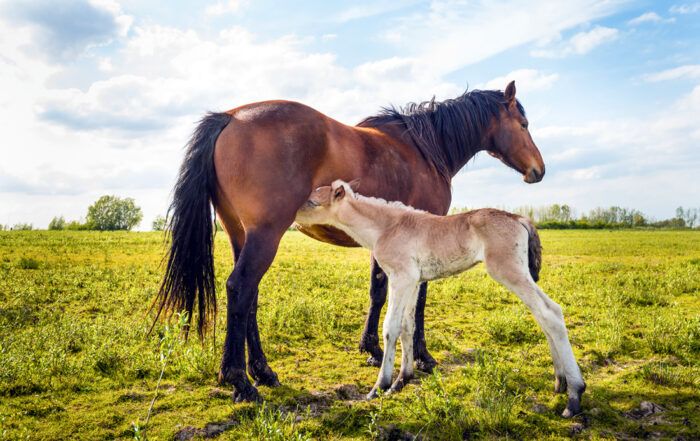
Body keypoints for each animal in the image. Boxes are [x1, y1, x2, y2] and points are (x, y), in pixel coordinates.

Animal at [155, 81, 545, 402]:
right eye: (523, 125)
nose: (539, 170)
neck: (425, 149)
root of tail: (230, 117)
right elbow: (417, 303)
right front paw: (422, 357)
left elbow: (377, 290)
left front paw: (371, 349)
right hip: (266, 235)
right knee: (240, 288)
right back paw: (240, 381)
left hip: (241, 234)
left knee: (249, 297)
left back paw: (264, 372)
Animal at [296, 180, 585, 418]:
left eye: (312, 201)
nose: (293, 217)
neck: (386, 227)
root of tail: (519, 218)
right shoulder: (413, 281)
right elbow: (407, 327)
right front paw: (401, 381)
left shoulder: (401, 277)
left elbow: (390, 327)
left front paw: (379, 387)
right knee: (545, 315)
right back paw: (559, 382)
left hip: (508, 271)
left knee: (550, 313)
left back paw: (574, 395)